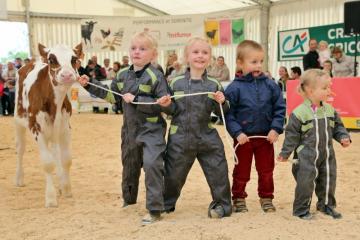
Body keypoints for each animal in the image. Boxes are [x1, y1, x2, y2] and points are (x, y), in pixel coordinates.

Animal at [14, 42, 83, 206]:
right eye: (52, 60)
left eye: (74, 59)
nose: (67, 75)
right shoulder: (36, 129)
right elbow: (47, 163)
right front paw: (51, 198)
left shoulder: (65, 128)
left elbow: (66, 160)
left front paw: (66, 189)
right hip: (18, 121)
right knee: (20, 149)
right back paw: (19, 178)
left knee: (55, 152)